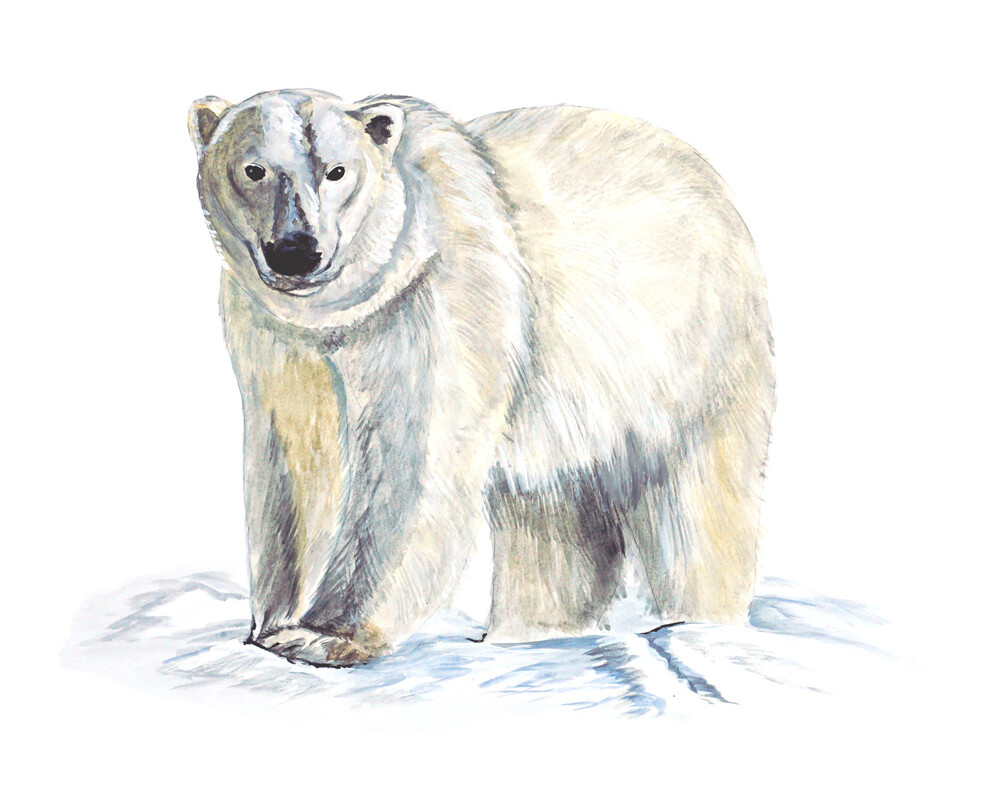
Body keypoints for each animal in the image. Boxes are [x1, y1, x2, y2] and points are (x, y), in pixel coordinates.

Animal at [188, 89, 775, 667]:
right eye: (255, 169)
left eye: (337, 171)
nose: (296, 250)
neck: (346, 309)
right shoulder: (275, 335)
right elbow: (296, 463)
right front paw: (272, 626)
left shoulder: (440, 300)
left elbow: (412, 459)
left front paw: (326, 636)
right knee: (550, 516)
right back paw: (533, 631)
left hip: (691, 352)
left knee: (699, 501)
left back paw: (699, 621)